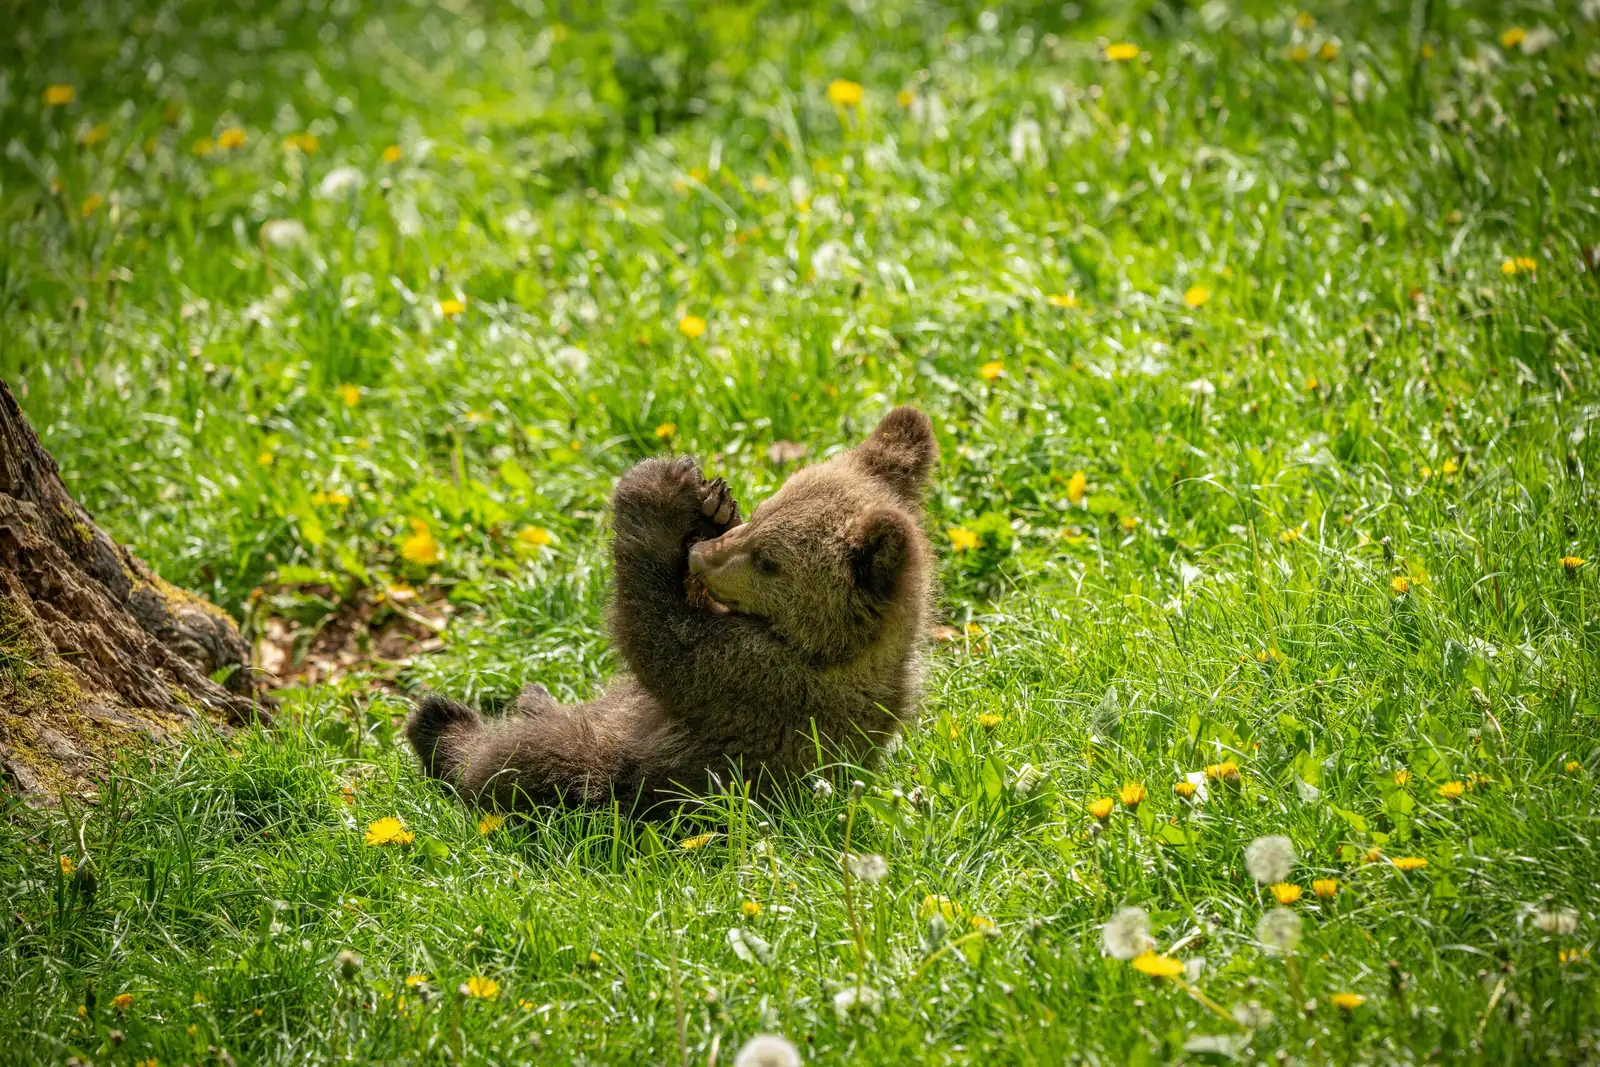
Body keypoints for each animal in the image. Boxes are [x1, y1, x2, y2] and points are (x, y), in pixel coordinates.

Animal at [405, 406, 937, 813]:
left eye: (769, 562)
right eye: (768, 506)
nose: (702, 555)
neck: (823, 645)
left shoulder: (757, 683)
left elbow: (657, 639)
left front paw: (658, 491)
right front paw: (713, 506)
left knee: (529, 760)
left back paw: (442, 722)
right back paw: (530, 697)